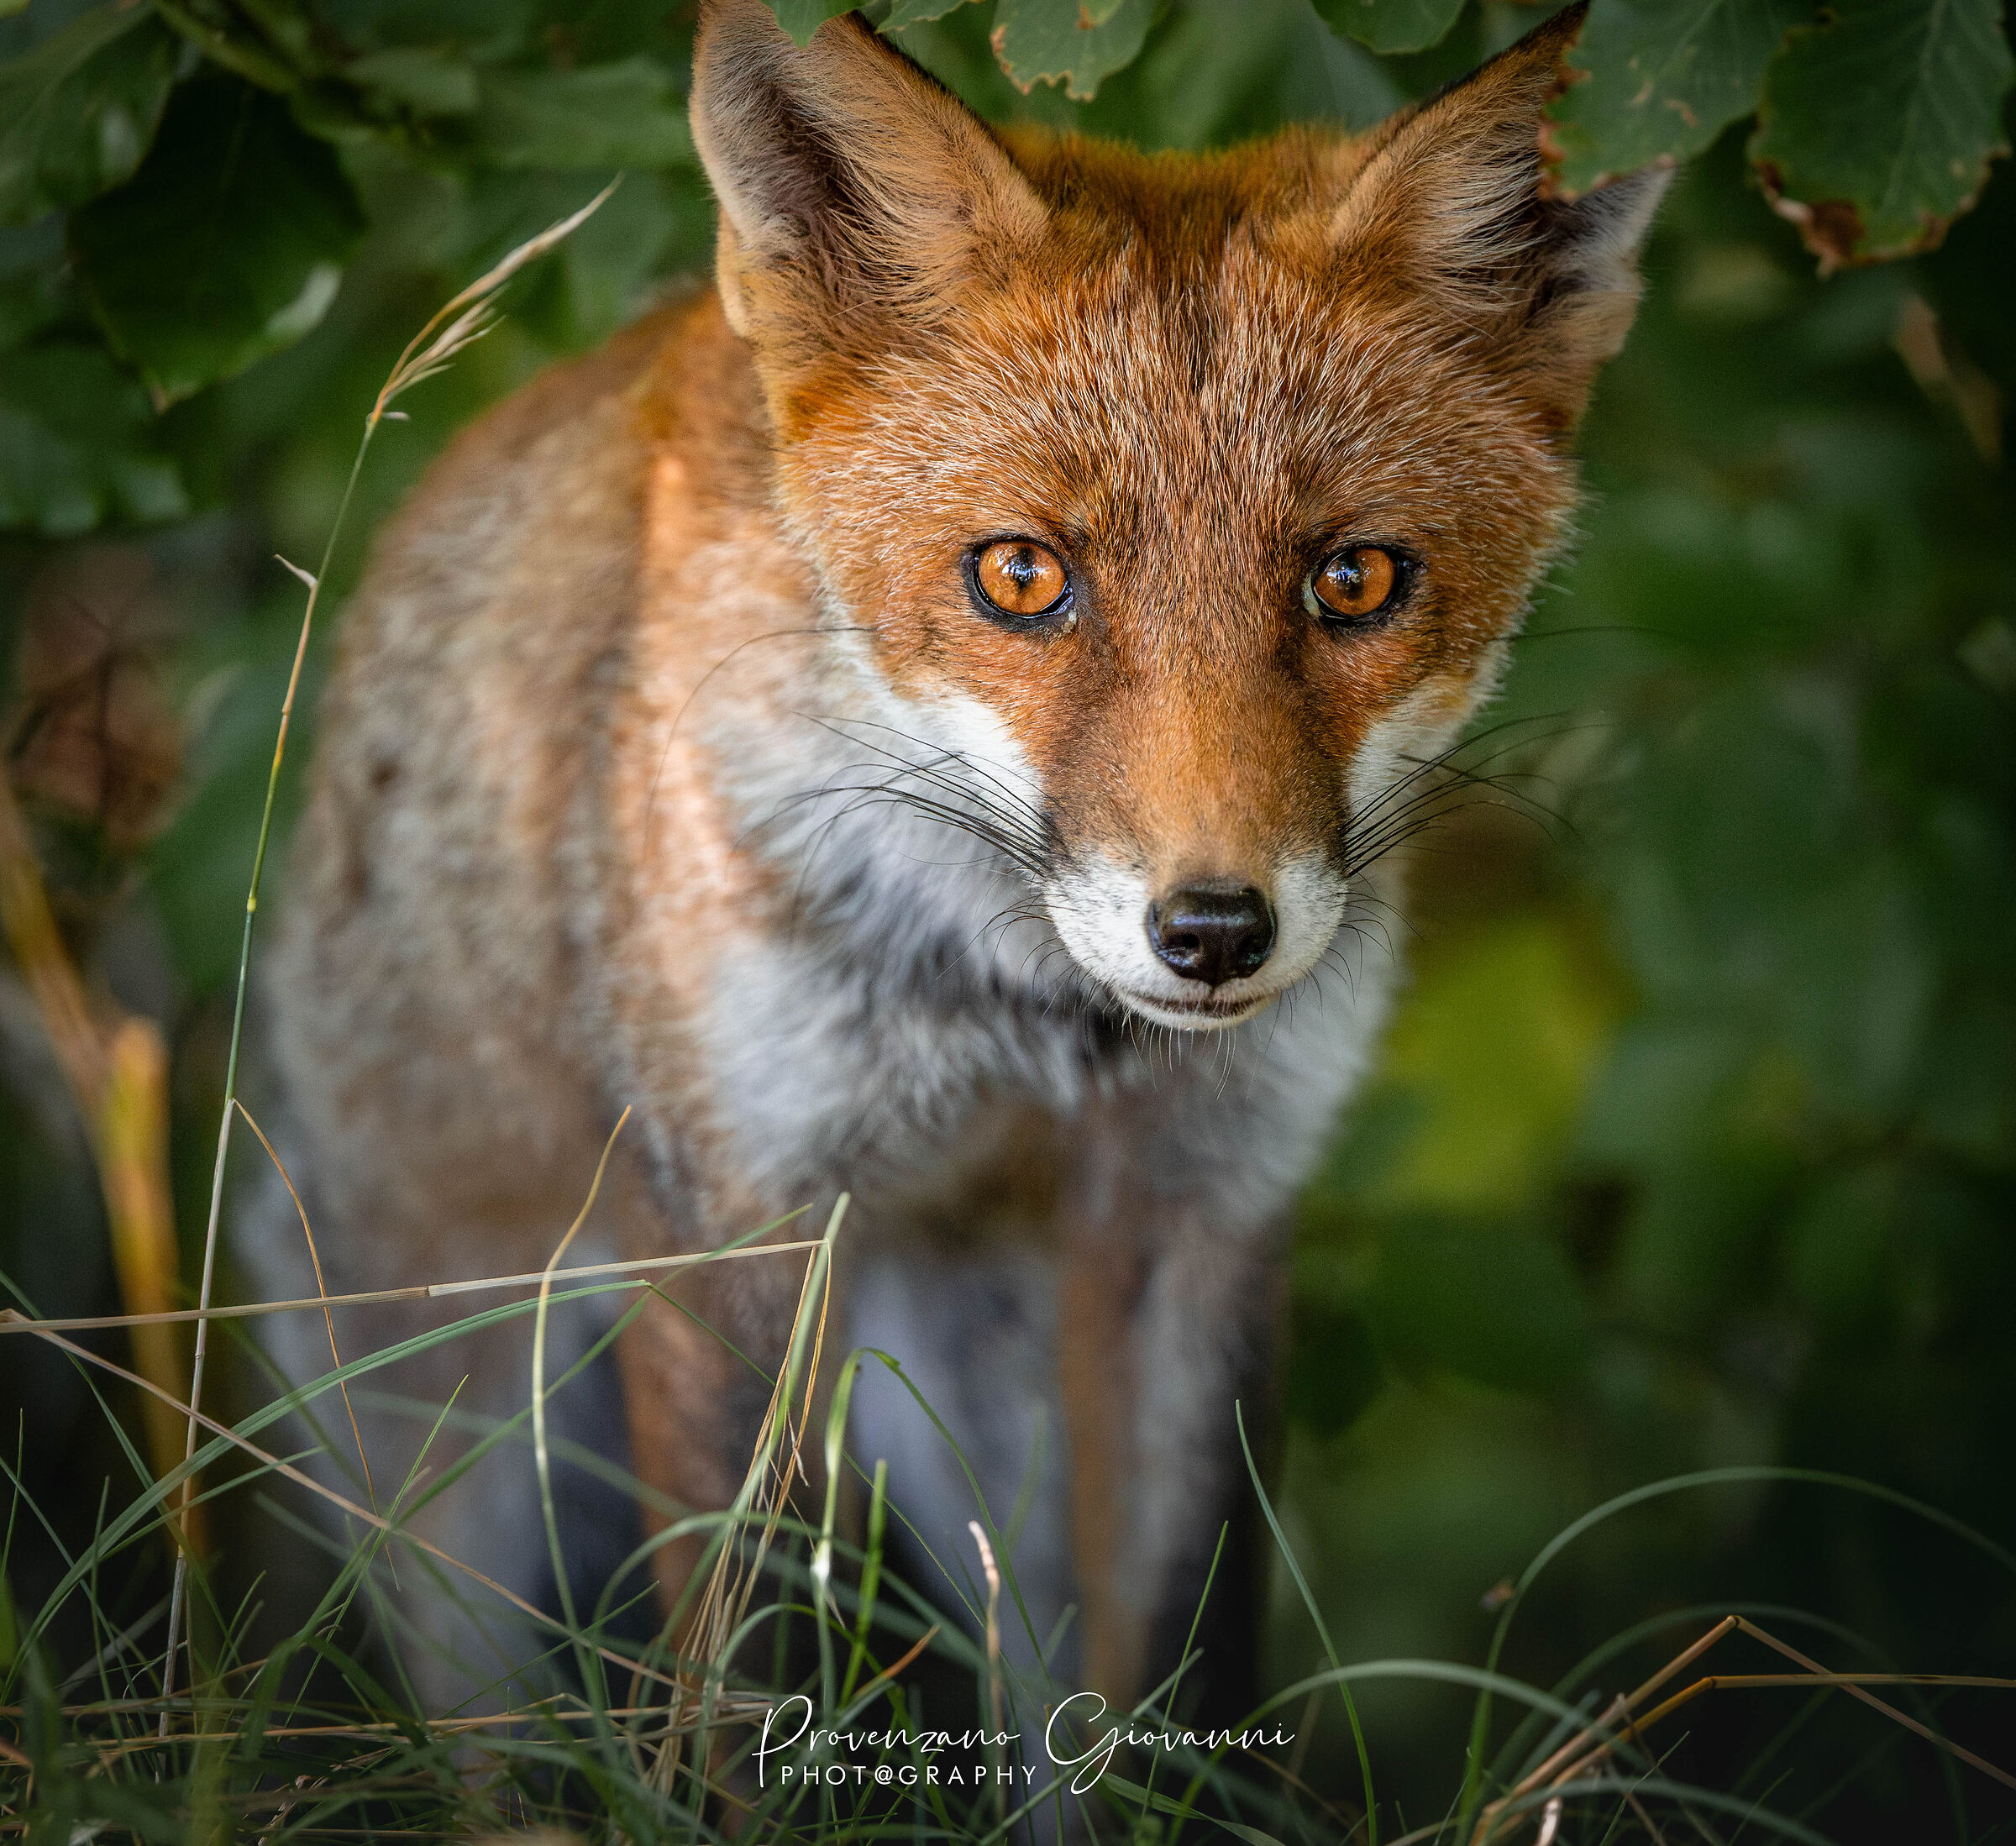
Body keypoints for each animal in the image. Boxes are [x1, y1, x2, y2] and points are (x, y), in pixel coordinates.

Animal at [243, 0, 1664, 1731]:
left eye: (1355, 580)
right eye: (1021, 576)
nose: (1211, 928)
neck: (1023, 1019)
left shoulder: (1200, 1214)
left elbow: (1184, 1666)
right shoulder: (730, 1221)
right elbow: (750, 1678)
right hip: (460, 1469)